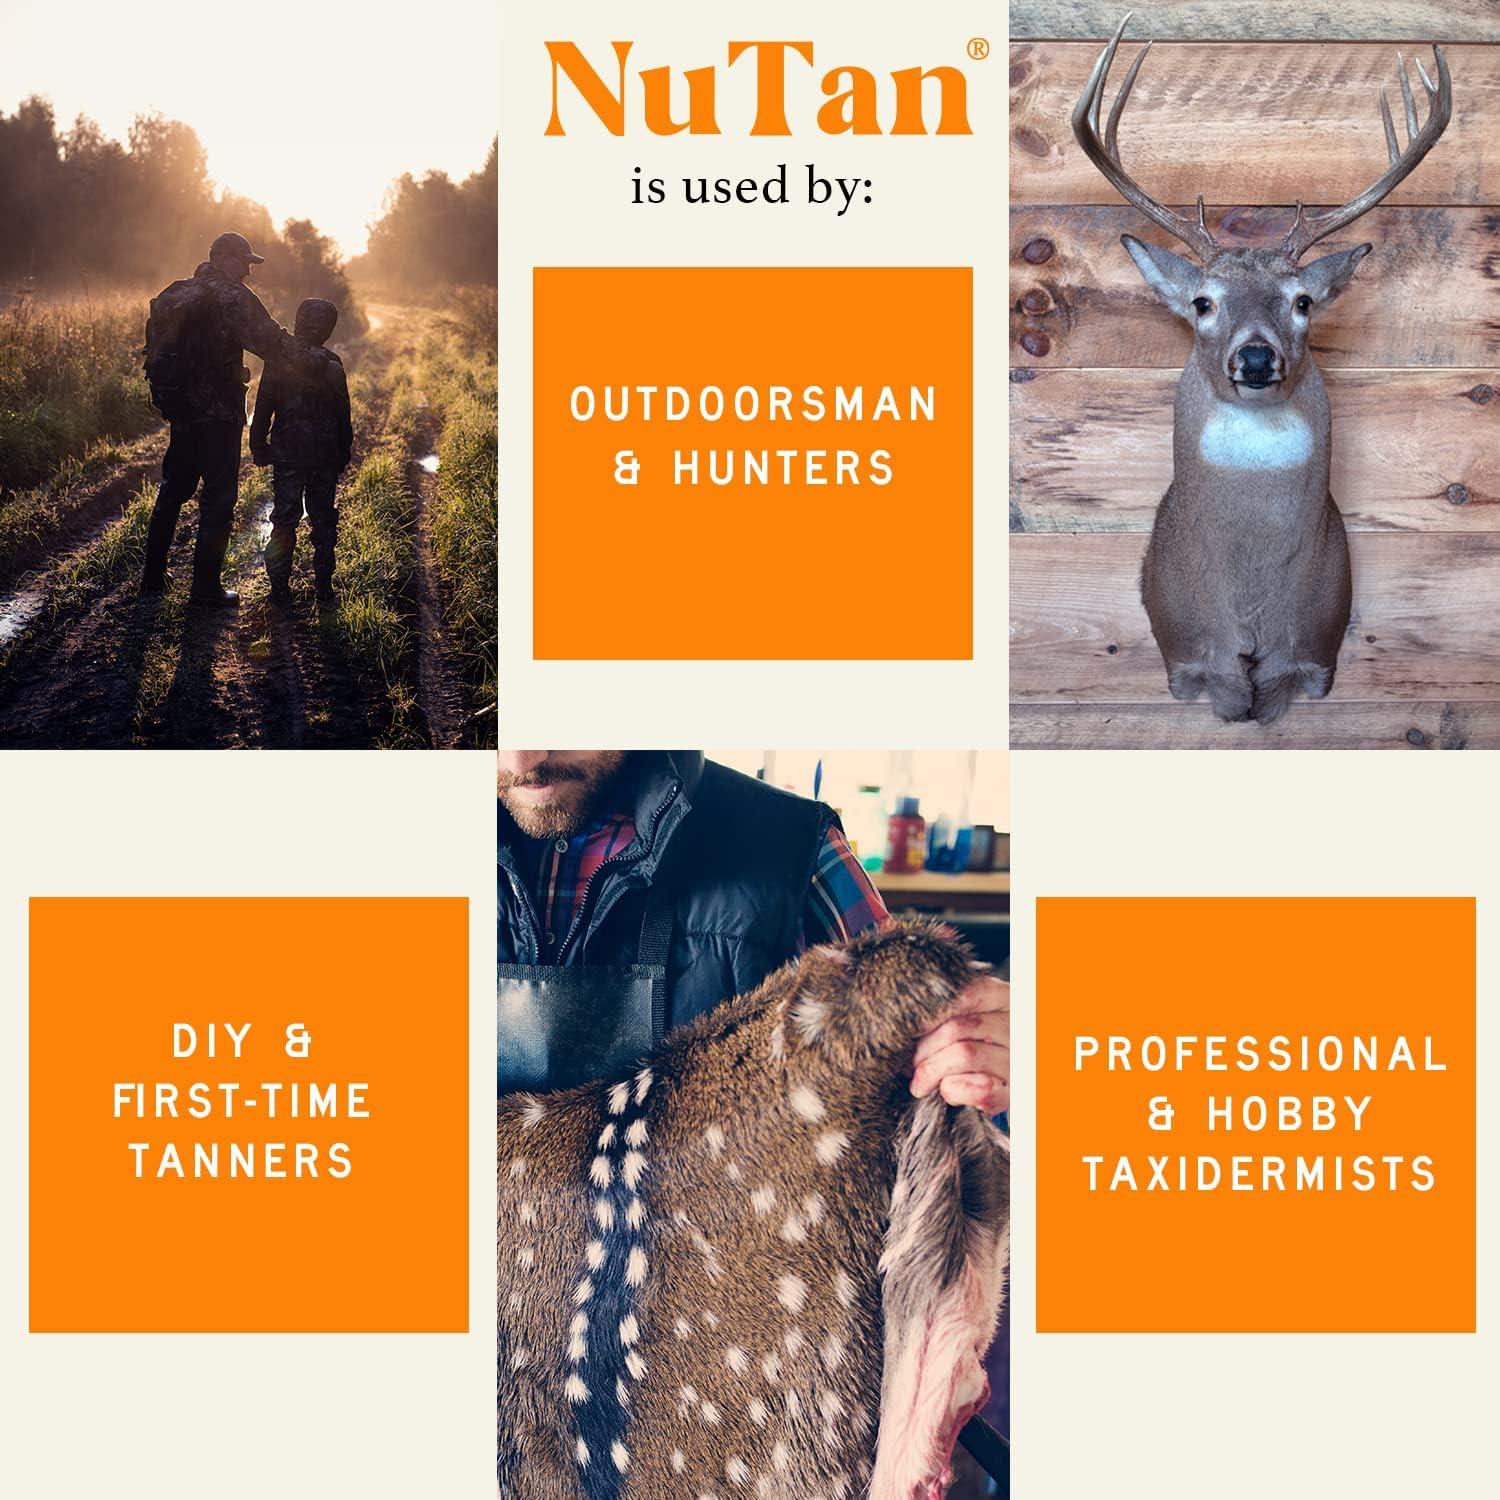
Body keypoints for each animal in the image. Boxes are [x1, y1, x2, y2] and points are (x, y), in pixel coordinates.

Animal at [1072, 13, 1452, 725]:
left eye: (1302, 301)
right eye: (1202, 302)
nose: (1254, 356)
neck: (1249, 600)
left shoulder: (1319, 654)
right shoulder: (1182, 656)